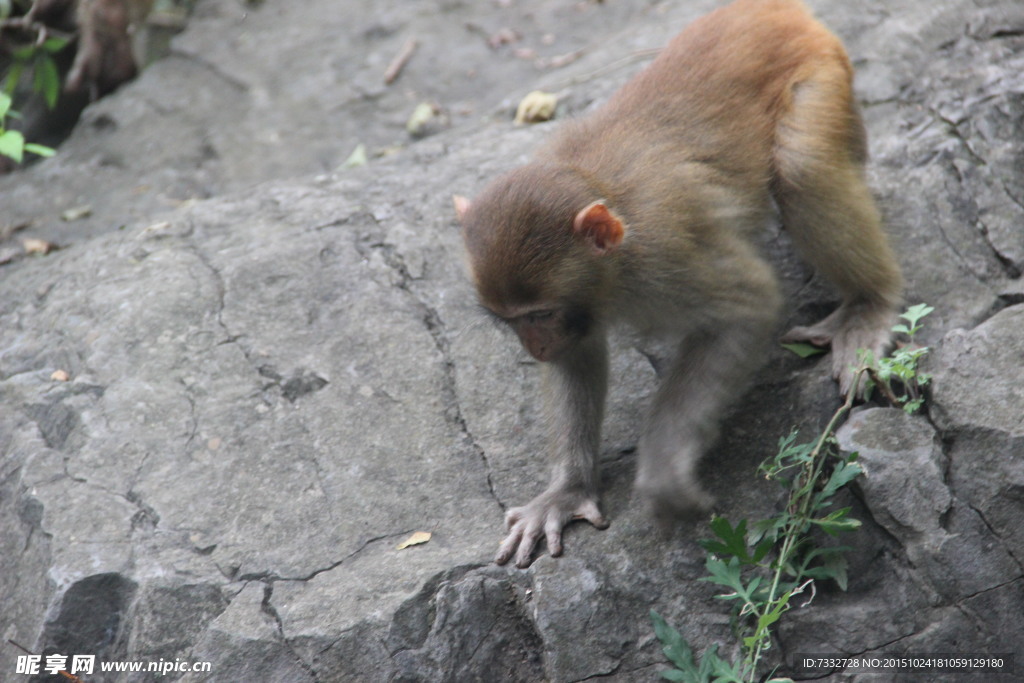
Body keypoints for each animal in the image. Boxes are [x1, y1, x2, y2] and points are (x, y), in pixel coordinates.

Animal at [452, 0, 901, 565]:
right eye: (510, 322)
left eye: (540, 314)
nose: (534, 347)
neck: (616, 254)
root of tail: (767, 12)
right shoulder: (585, 310)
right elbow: (576, 358)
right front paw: (566, 492)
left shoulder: (667, 258)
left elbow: (749, 306)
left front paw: (663, 469)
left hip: (820, 75)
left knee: (803, 169)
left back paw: (869, 304)